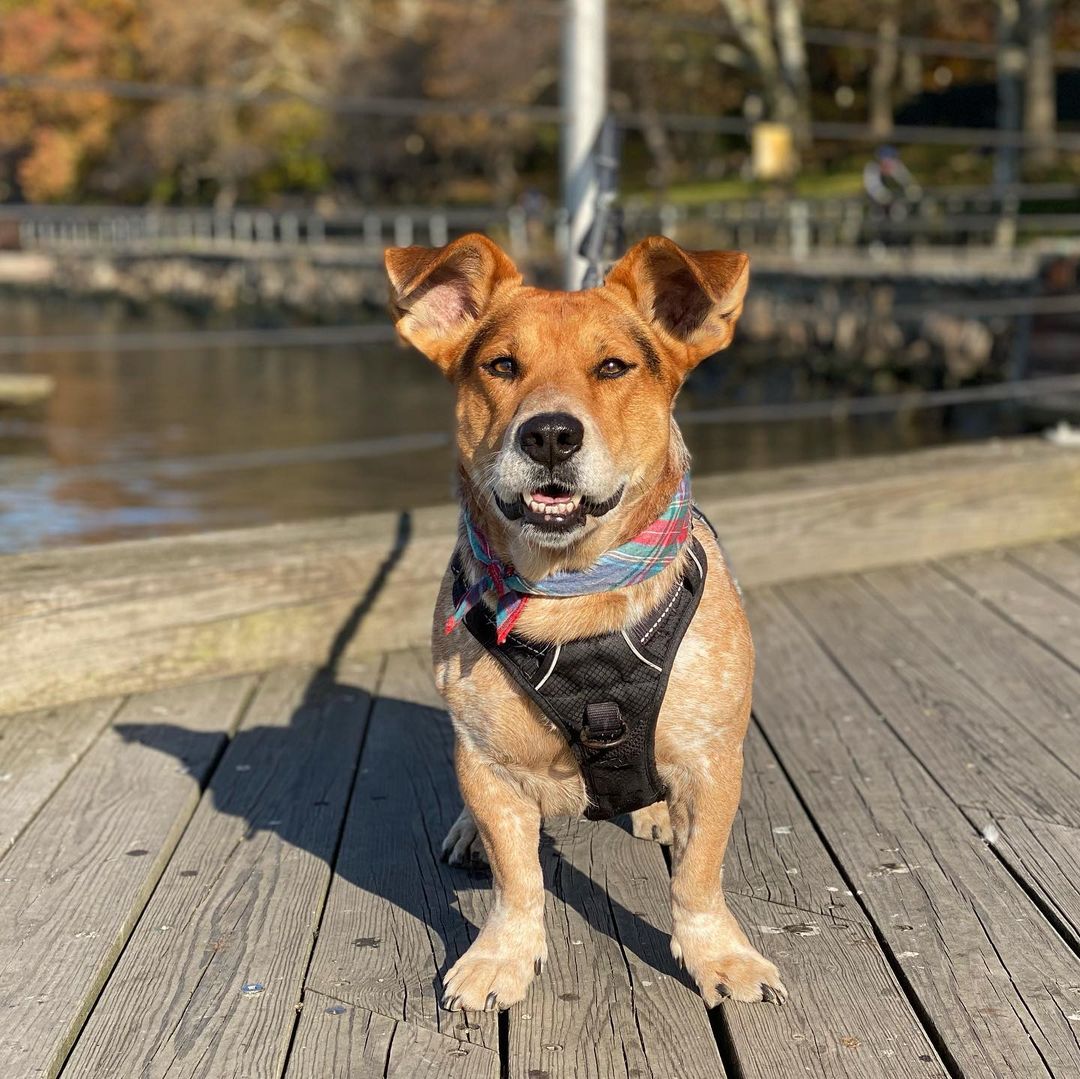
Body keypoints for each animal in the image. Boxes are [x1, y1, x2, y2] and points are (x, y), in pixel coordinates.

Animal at [384, 234, 781, 1010]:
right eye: (501, 365)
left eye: (613, 367)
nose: (549, 434)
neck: (572, 596)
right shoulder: (487, 765)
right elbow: (517, 880)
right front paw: (501, 955)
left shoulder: (714, 760)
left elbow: (699, 877)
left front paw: (718, 954)